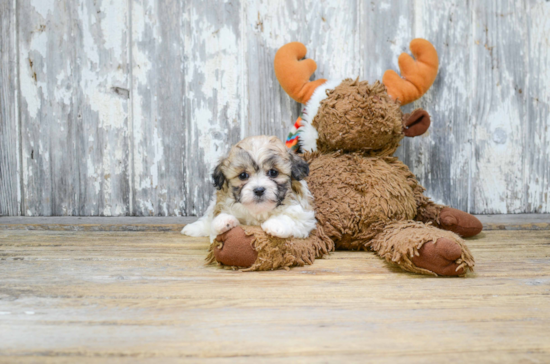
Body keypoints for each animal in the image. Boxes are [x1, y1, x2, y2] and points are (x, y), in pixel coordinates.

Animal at [183, 135, 316, 240]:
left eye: (273, 172)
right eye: (243, 175)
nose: (259, 190)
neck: (258, 211)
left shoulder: (305, 216)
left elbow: (291, 218)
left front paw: (276, 225)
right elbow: (217, 219)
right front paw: (224, 221)